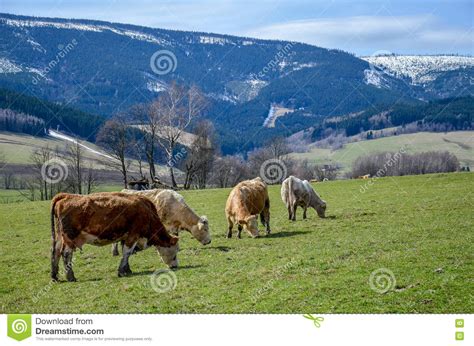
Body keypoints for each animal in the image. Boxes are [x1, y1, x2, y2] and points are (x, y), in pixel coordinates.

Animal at [50, 192, 180, 282]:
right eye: (175, 252)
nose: (175, 266)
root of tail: (65, 195)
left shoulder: (126, 237)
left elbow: (126, 254)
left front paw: (127, 269)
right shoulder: (133, 234)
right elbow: (127, 252)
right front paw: (122, 271)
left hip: (60, 236)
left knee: (55, 251)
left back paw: (55, 276)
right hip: (70, 237)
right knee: (66, 254)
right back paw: (70, 276)